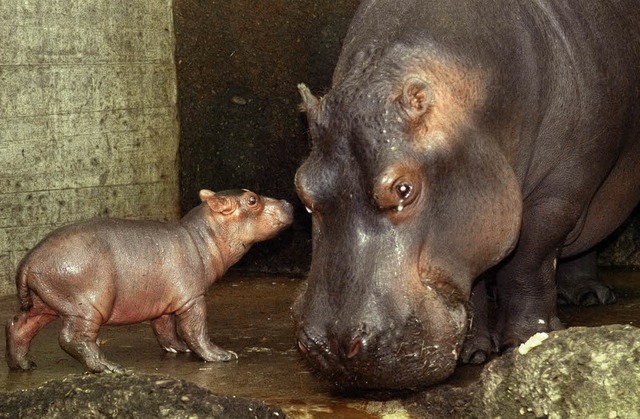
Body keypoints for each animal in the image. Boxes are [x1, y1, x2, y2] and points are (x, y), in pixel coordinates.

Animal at [5, 189, 294, 372]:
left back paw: (23, 365)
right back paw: (111, 368)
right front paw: (221, 356)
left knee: (19, 325)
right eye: (252, 200)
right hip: (87, 306)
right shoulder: (192, 298)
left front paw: (179, 350)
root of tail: (29, 260)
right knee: (73, 338)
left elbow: (165, 328)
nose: (288, 202)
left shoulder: (164, 302)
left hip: (45, 302)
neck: (204, 236)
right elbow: (196, 330)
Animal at [294, 0, 640, 392]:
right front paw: (473, 353)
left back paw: (590, 297)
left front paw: (525, 342)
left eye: (403, 188)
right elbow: (473, 277)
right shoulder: (469, 227)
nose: (333, 347)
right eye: (302, 190)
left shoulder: (556, 198)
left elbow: (528, 262)